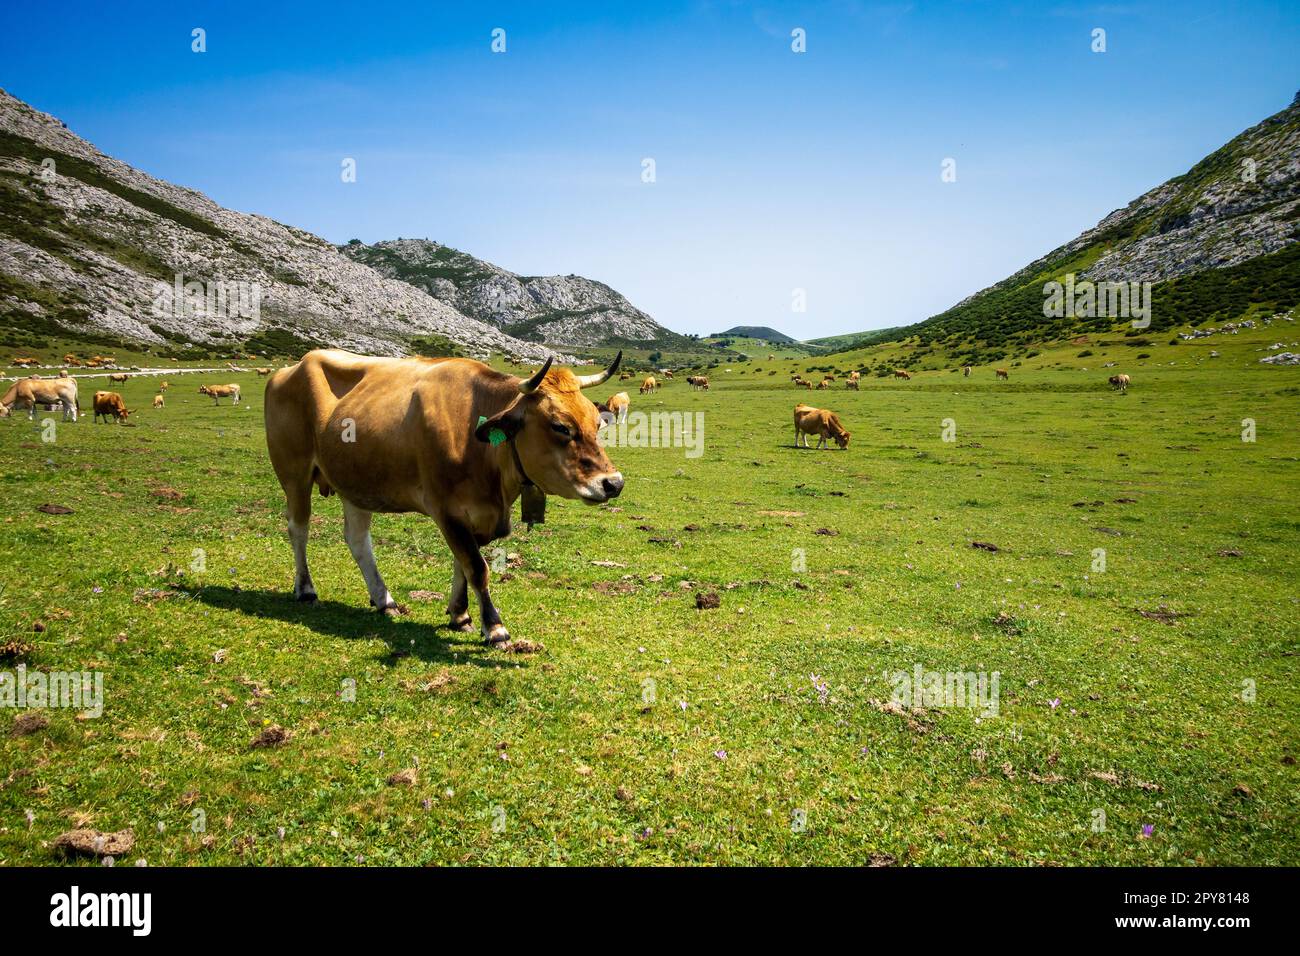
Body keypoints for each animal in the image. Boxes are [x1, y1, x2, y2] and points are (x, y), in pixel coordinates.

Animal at [262, 351, 624, 642]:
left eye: (597, 423)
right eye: (560, 426)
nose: (614, 483)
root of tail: (290, 368)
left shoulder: (473, 513)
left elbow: (462, 562)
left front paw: (460, 614)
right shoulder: (445, 509)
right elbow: (476, 566)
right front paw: (494, 627)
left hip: (355, 481)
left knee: (357, 539)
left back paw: (384, 599)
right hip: (294, 472)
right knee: (298, 528)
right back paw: (306, 589)